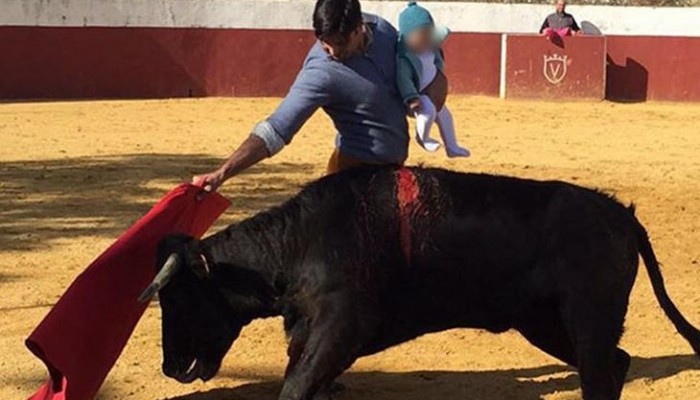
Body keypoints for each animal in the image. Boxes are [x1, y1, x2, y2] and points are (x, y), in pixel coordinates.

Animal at [138, 166, 700, 400]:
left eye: (178, 298)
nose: (168, 368)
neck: (301, 241)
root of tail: (620, 213)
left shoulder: (341, 325)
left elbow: (296, 387)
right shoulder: (311, 334)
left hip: (588, 316)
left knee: (600, 371)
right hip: (545, 323)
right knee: (613, 365)